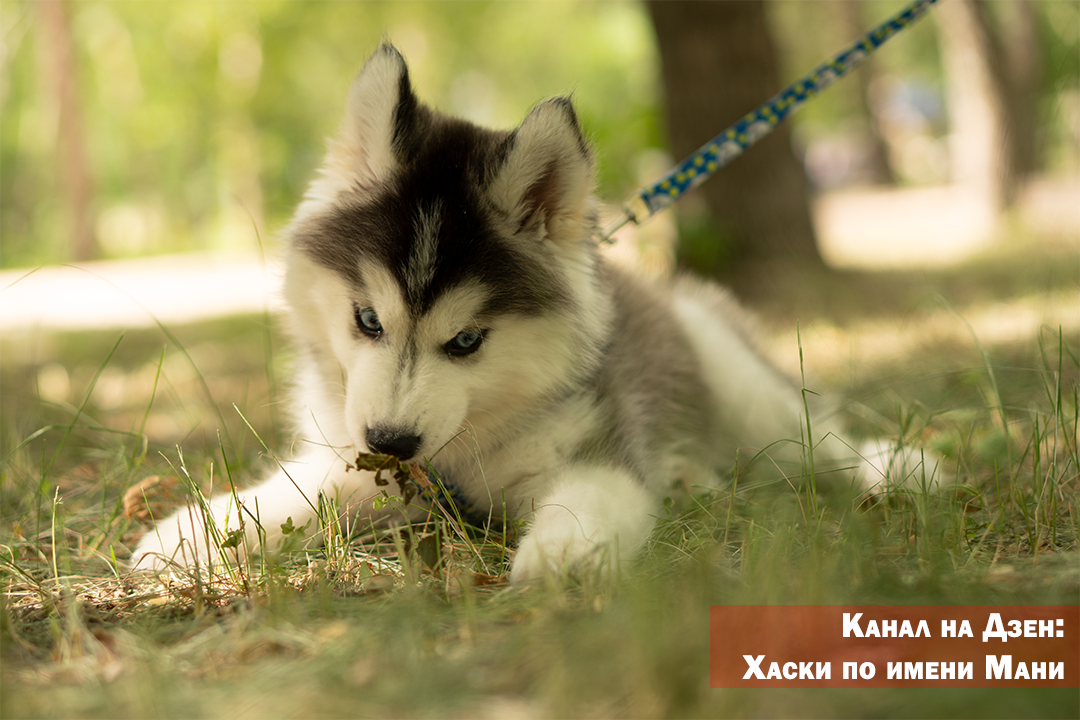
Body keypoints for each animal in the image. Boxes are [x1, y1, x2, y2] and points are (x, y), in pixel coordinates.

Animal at [132, 45, 928, 582]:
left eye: (467, 341)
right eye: (367, 321)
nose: (391, 439)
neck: (468, 443)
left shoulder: (602, 446)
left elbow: (595, 499)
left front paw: (562, 557)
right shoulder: (357, 466)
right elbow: (296, 494)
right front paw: (195, 536)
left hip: (737, 381)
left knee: (814, 441)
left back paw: (895, 471)